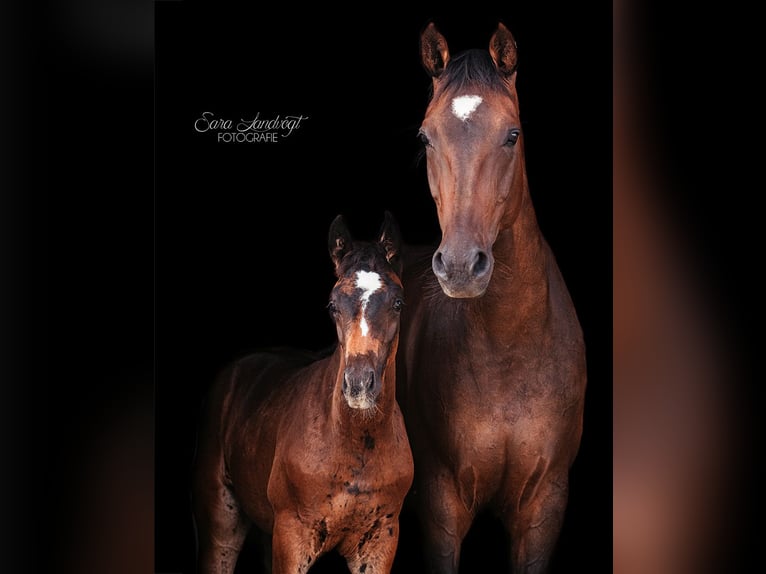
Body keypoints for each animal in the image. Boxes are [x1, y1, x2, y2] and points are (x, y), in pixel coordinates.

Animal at [195, 214, 416, 572]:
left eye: (397, 303)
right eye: (332, 305)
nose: (358, 384)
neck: (355, 442)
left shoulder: (380, 542)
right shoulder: (292, 536)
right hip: (221, 525)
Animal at [396, 20, 588, 572]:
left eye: (512, 134)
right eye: (425, 136)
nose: (462, 266)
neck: (508, 348)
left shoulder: (544, 505)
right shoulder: (440, 505)